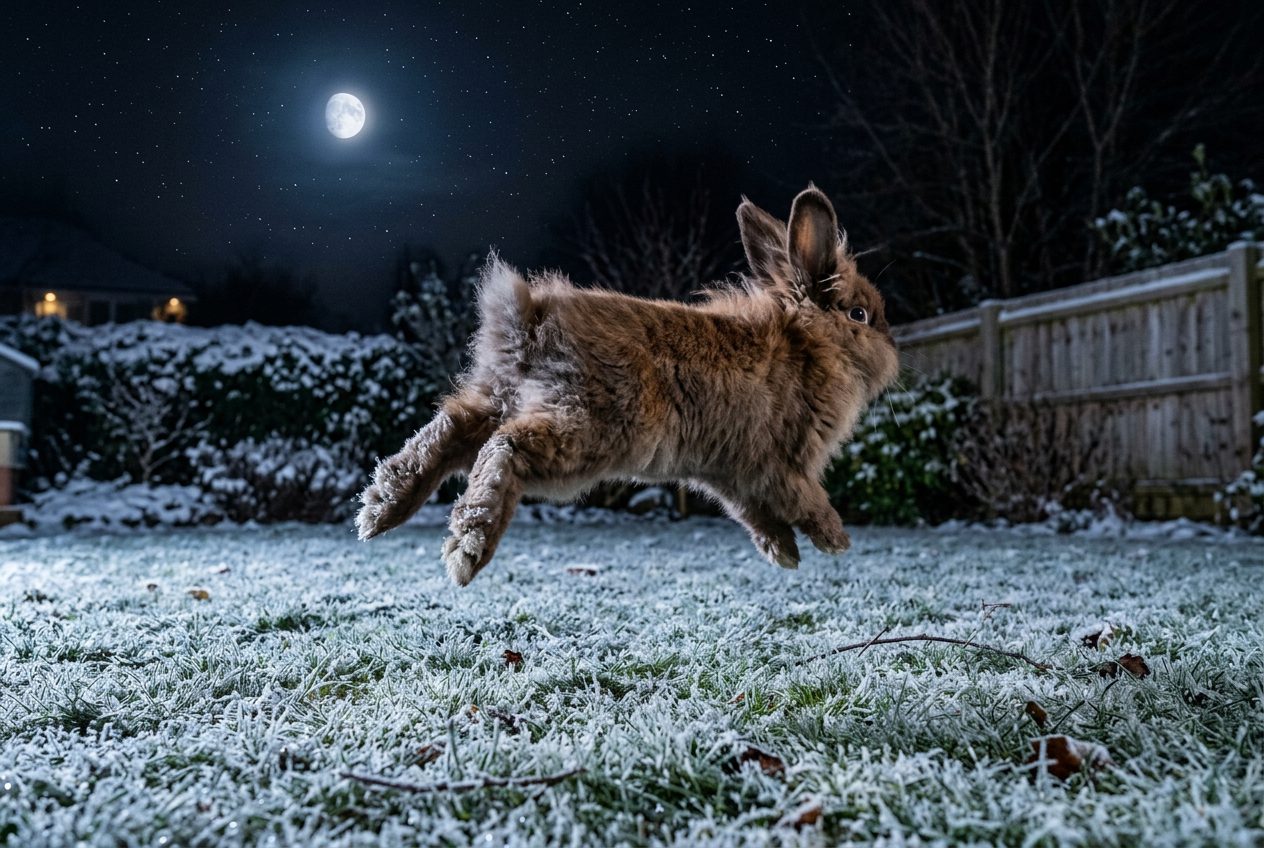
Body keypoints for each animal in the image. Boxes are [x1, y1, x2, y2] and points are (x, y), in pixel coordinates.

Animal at [356, 184, 900, 585]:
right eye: (860, 315)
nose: (895, 354)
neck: (807, 345)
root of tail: (530, 321)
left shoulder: (732, 475)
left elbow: (754, 516)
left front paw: (783, 553)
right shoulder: (782, 465)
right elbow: (803, 500)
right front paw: (834, 539)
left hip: (500, 397)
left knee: (449, 429)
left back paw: (381, 509)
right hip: (586, 432)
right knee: (503, 448)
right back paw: (469, 547)